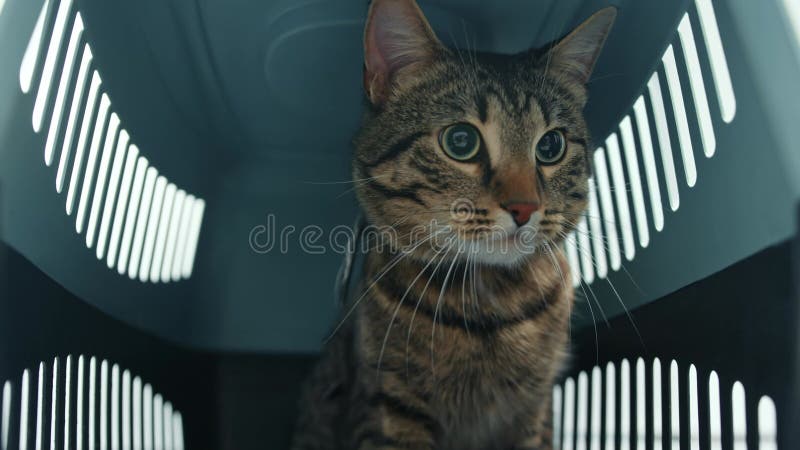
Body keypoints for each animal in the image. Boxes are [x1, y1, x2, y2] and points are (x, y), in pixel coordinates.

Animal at [290, 1, 616, 448]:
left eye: (551, 146)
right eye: (461, 141)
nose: (525, 207)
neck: (489, 305)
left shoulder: (533, 412)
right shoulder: (390, 403)